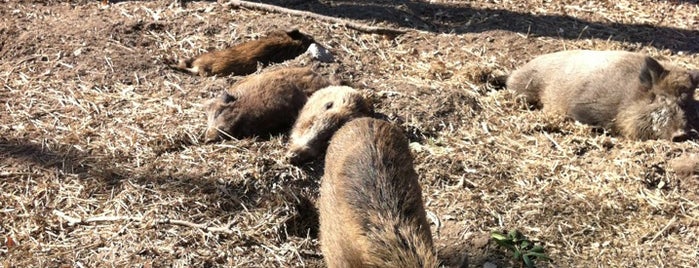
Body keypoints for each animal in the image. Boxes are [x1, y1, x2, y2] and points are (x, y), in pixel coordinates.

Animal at [506, 50, 696, 142]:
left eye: (687, 102)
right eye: (661, 98)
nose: (681, 134)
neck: (628, 96)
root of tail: (513, 74)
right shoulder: (584, 107)